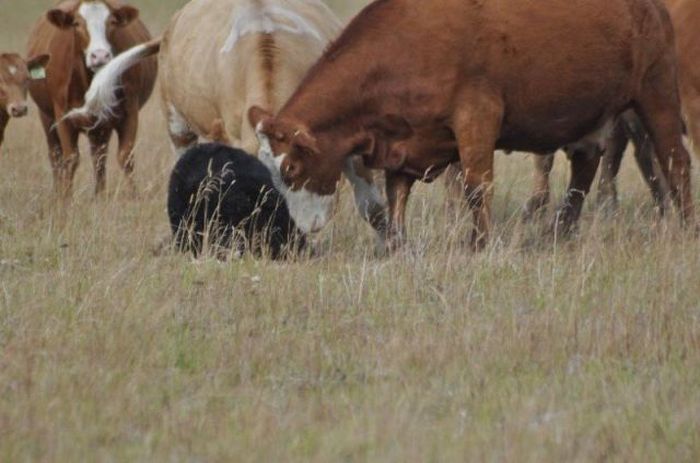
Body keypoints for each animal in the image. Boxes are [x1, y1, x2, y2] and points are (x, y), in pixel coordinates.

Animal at [26, 0, 157, 197]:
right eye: (77, 23)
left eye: (112, 22)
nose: (100, 55)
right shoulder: (62, 116)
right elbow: (70, 159)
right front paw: (65, 200)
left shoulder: (129, 112)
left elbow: (125, 157)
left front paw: (133, 197)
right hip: (47, 116)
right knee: (56, 155)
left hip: (101, 126)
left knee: (99, 159)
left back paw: (100, 196)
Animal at [249, 0, 692, 250]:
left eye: (292, 167)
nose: (298, 229)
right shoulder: (403, 142)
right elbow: (396, 195)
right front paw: (395, 245)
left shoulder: (477, 117)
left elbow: (476, 187)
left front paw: (477, 243)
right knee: (584, 169)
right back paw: (558, 233)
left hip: (656, 93)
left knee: (675, 161)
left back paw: (688, 225)